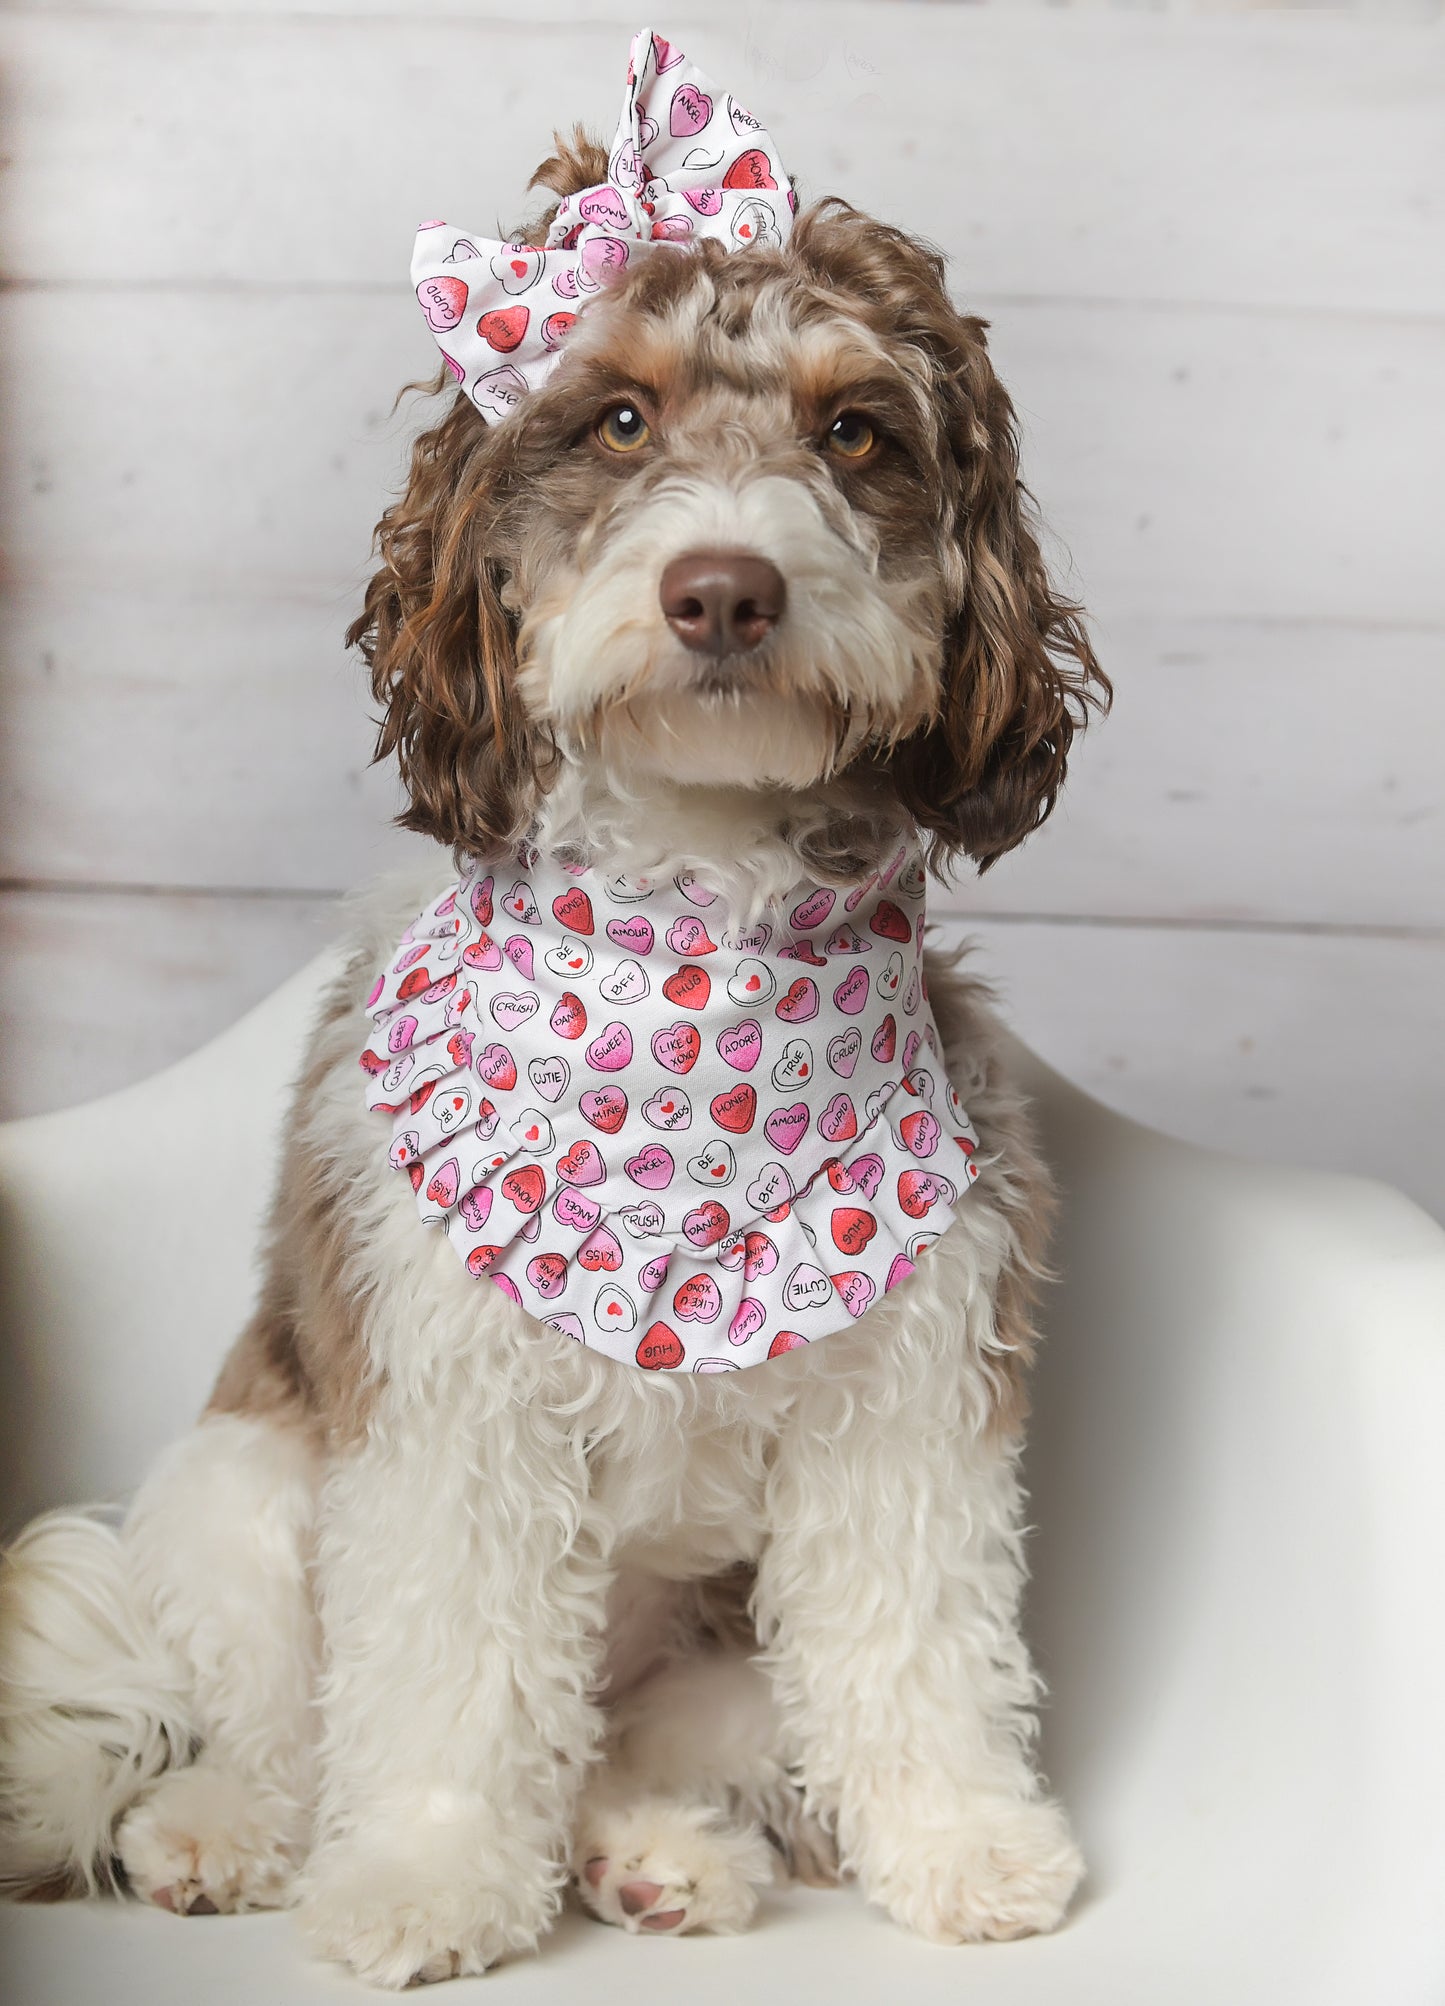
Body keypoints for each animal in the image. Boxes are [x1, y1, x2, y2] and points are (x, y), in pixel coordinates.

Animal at [0, 90, 1107, 1973]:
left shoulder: (912, 1390)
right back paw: (226, 1827)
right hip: (239, 1485)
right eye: (618, 417)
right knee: (287, 1719)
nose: (725, 589)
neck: (698, 953)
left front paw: (964, 1844)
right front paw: (425, 1878)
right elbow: (450, 1671)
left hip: (715, 1662)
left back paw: (657, 1853)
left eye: (859, 432)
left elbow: (917, 1641)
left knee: (630, 1747)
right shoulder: (444, 1406)